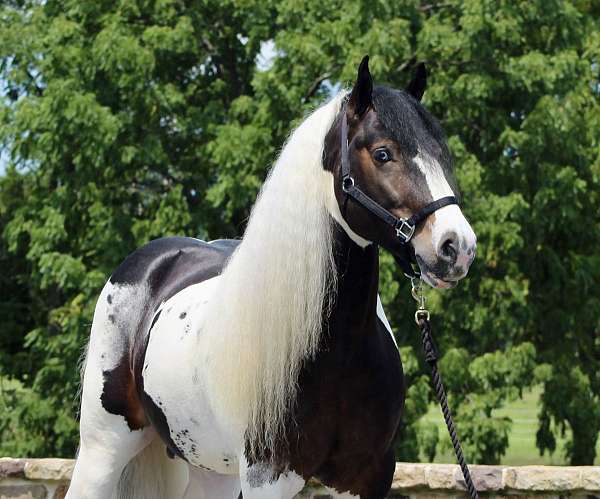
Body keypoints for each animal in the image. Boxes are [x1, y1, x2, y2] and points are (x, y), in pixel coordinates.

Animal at [65, 55, 476, 499]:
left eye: (441, 154)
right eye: (383, 153)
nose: (457, 247)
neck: (335, 353)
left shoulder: (367, 477)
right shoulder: (269, 477)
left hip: (214, 469)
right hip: (104, 447)